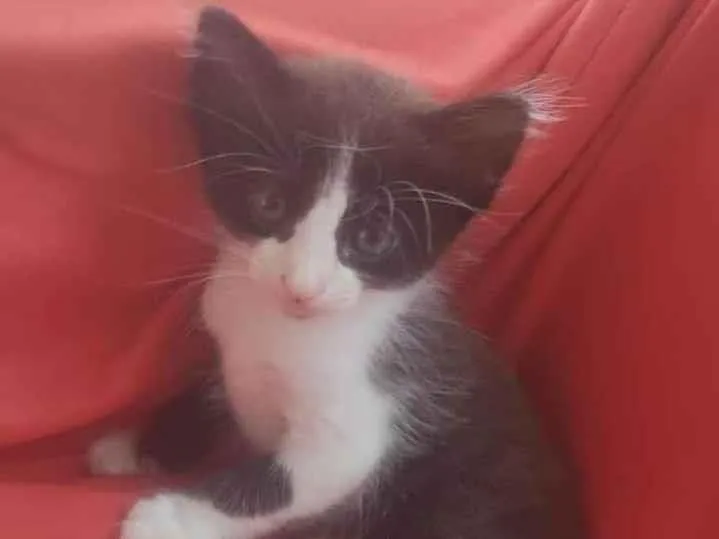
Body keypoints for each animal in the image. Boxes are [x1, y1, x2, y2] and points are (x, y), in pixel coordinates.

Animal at [89, 6, 581, 539]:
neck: (278, 331)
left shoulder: (362, 424)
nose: (302, 286)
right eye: (270, 204)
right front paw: (133, 445)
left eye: (372, 238)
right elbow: (204, 387)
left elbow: (282, 480)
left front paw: (168, 516)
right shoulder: (225, 338)